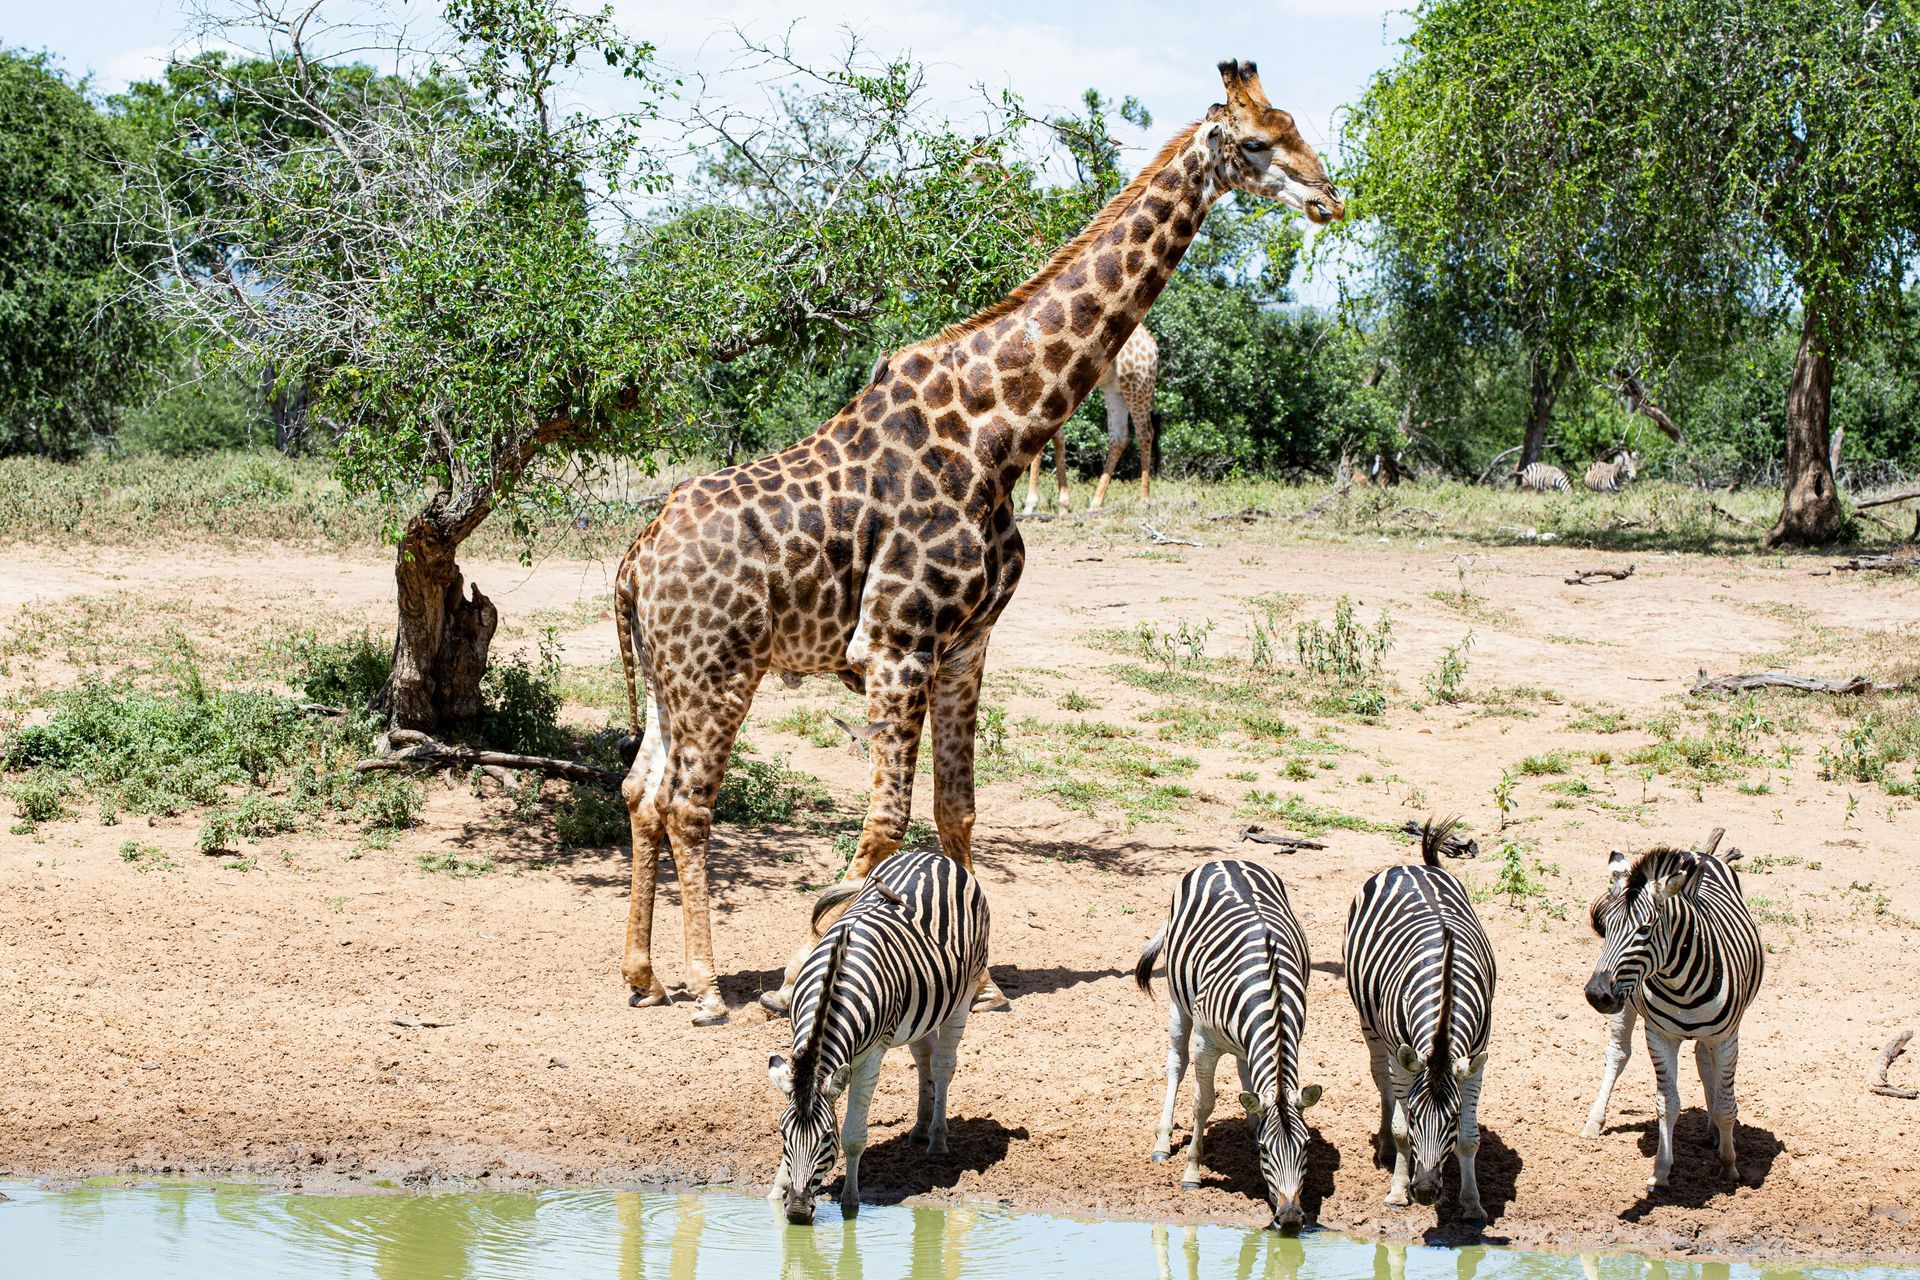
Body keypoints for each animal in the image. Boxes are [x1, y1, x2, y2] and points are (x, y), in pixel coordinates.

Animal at [767, 848, 990, 1224]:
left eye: (826, 1138)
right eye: (784, 1135)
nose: (797, 1211)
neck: (833, 987)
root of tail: (933, 854)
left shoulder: (870, 1057)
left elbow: (855, 1136)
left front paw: (850, 1202)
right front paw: (775, 1193)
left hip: (966, 989)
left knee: (943, 1064)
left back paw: (937, 1139)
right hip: (920, 1008)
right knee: (924, 1056)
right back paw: (919, 1128)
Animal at [1023, 324, 1161, 515]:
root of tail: (1153, 345)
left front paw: (1031, 505)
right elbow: (1057, 437)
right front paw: (1063, 505)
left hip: (1137, 383)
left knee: (1145, 433)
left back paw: (1144, 501)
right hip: (1113, 387)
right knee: (1120, 437)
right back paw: (1095, 504)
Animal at [1135, 860, 1322, 1232]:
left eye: (1307, 1146)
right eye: (1266, 1150)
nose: (1290, 1219)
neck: (1271, 992)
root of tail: (1223, 861)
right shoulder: (1205, 1043)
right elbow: (1203, 1104)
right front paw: (1192, 1173)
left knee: (1245, 1069)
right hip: (1178, 1003)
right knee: (1176, 1064)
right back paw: (1162, 1142)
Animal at [1343, 817, 1496, 1219]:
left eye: (1453, 1119)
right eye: (1414, 1116)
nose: (1426, 1191)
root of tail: (1414, 867)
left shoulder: (1475, 1059)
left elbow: (1470, 1139)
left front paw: (1472, 1203)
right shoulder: (1403, 1057)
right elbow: (1400, 1129)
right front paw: (1397, 1191)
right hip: (1371, 1027)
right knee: (1381, 1080)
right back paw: (1384, 1145)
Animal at [1583, 844, 1763, 1189]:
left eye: (1644, 929)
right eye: (1607, 927)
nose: (1597, 995)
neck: (1682, 987)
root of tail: (1699, 853)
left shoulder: (1727, 1037)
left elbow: (1726, 1106)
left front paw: (1729, 1164)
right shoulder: (1660, 1036)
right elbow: (1667, 1104)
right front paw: (1661, 1171)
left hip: (1712, 1033)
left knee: (1704, 1060)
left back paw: (1714, 1133)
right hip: (1626, 1005)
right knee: (1618, 1054)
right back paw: (1594, 1122)